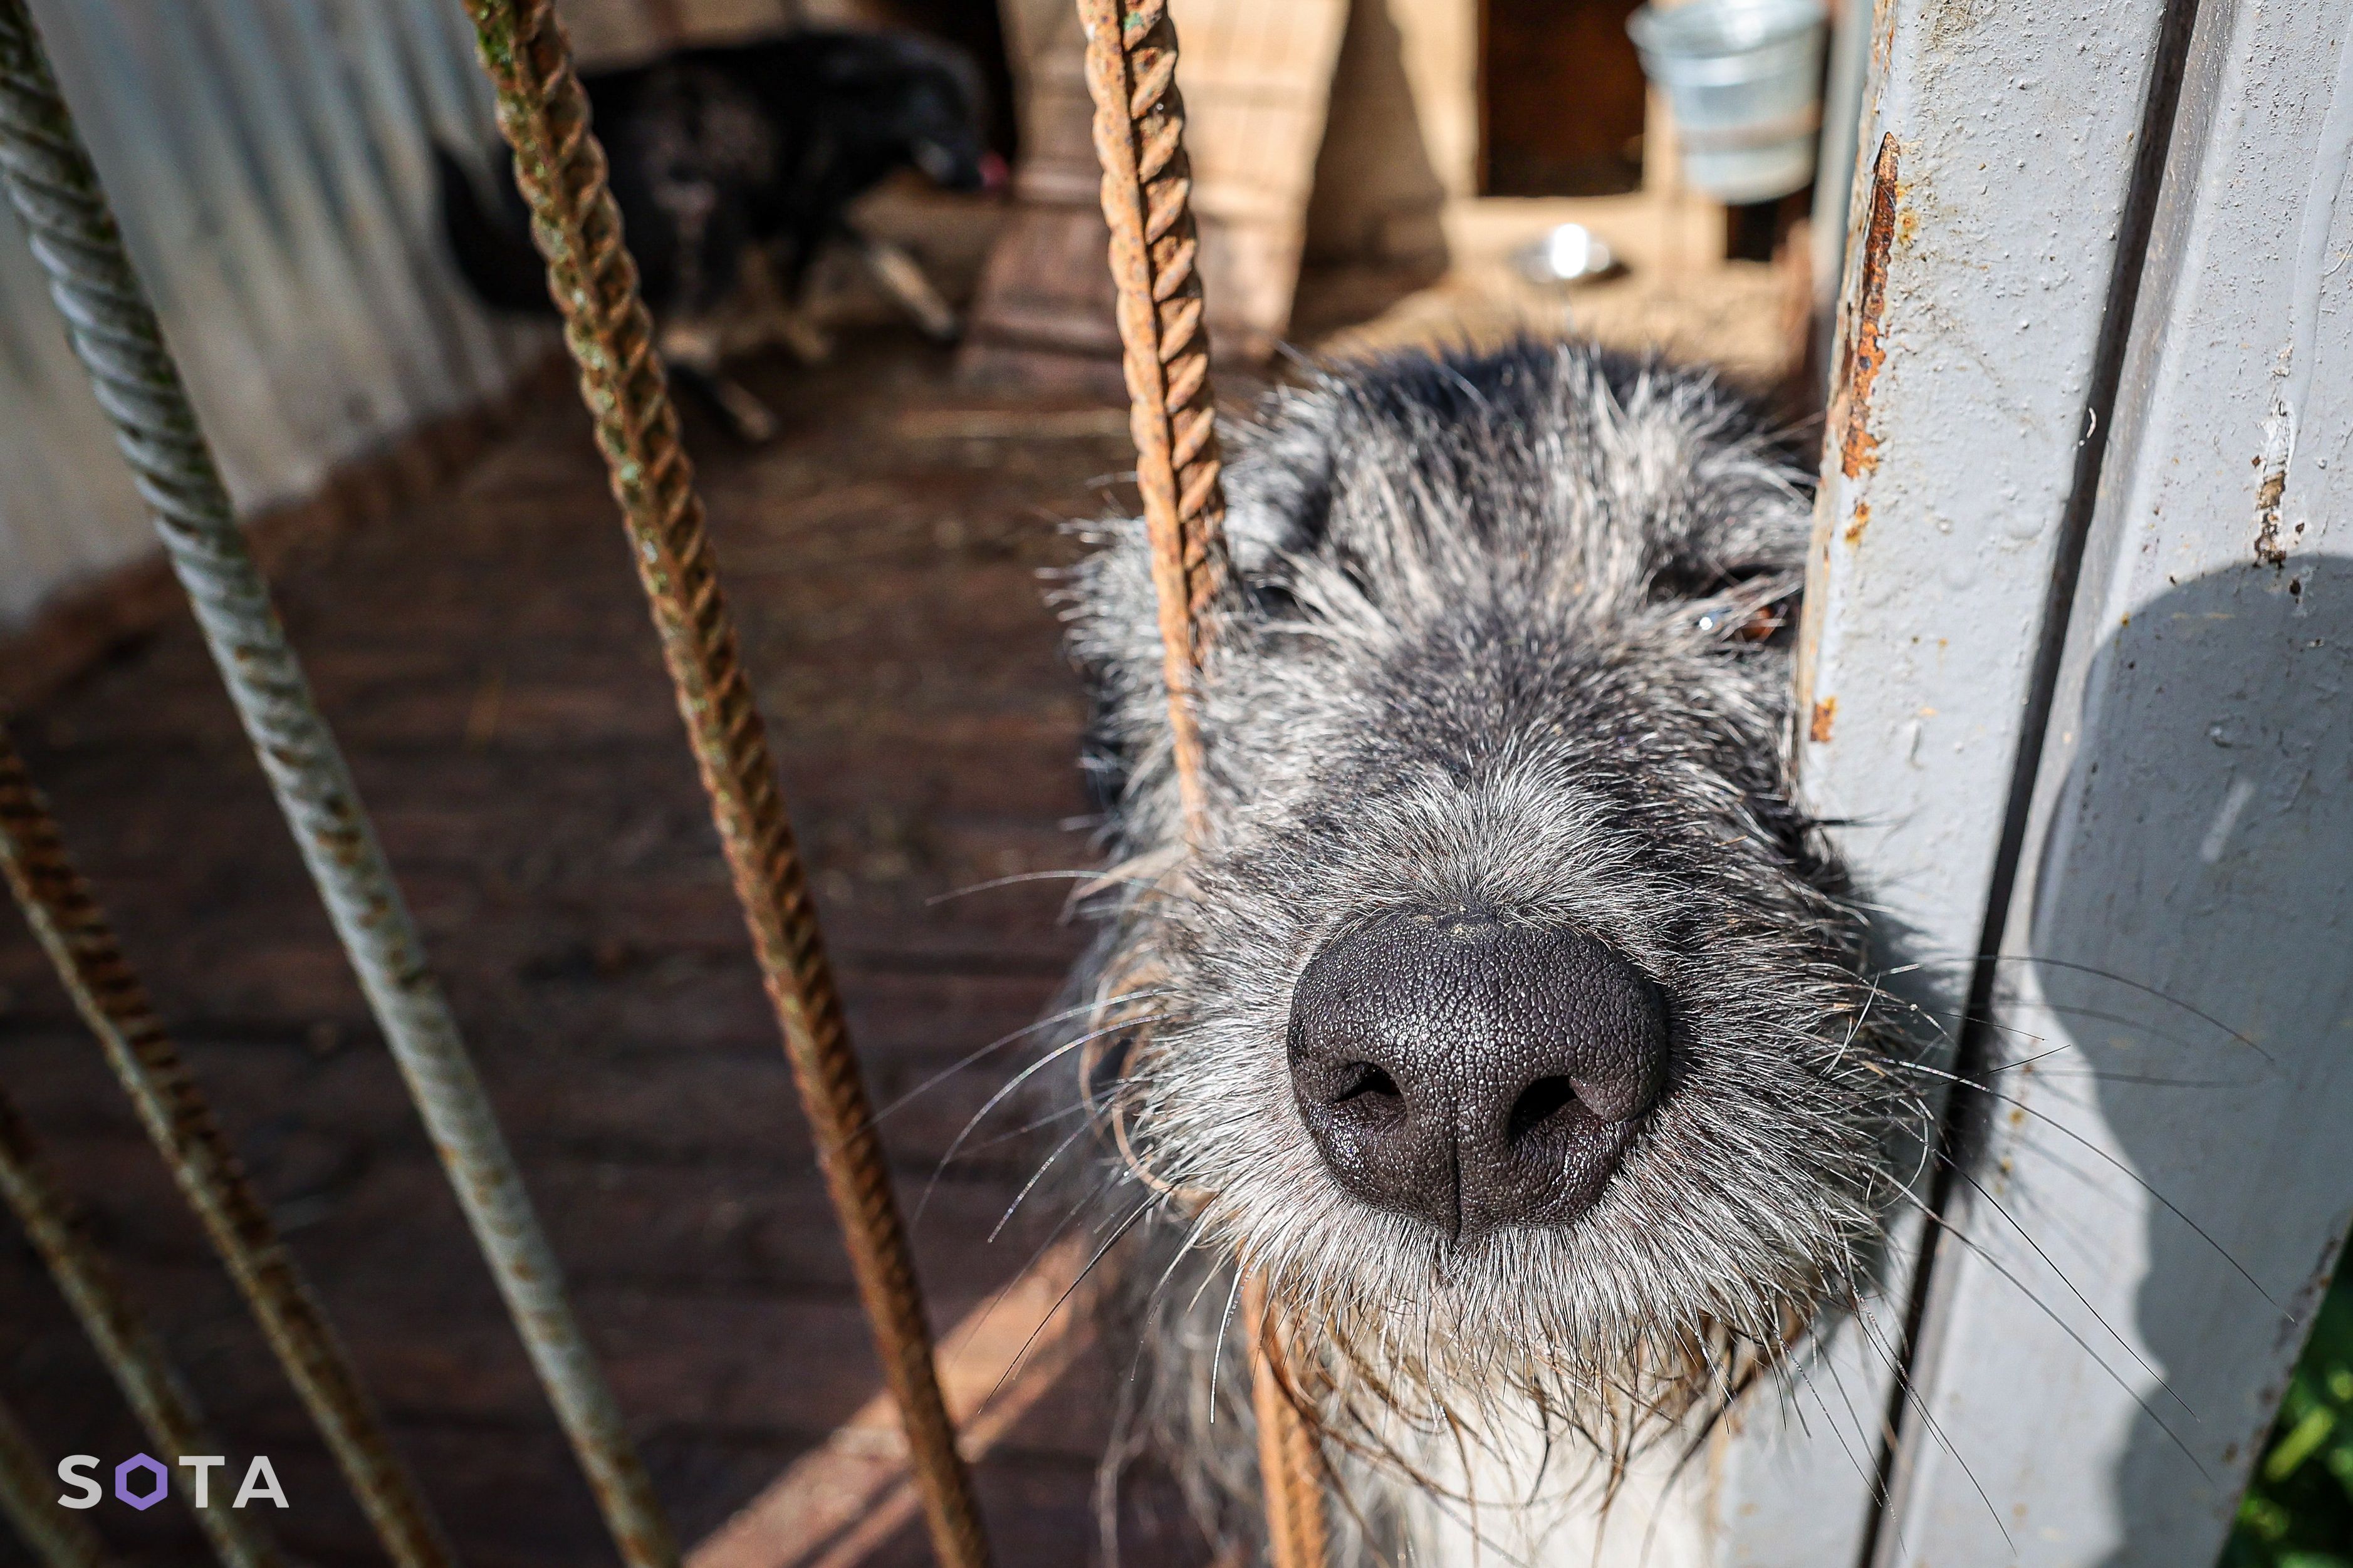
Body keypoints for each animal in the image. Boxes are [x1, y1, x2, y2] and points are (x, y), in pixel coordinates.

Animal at [440, 24, 993, 439]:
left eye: (973, 117)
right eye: (941, 124)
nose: (985, 179)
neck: (845, 97)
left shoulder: (791, 216)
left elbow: (852, 269)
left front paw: (813, 338)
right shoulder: (810, 210)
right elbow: (847, 271)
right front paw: (820, 342)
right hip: (717, 231)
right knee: (683, 348)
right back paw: (748, 422)